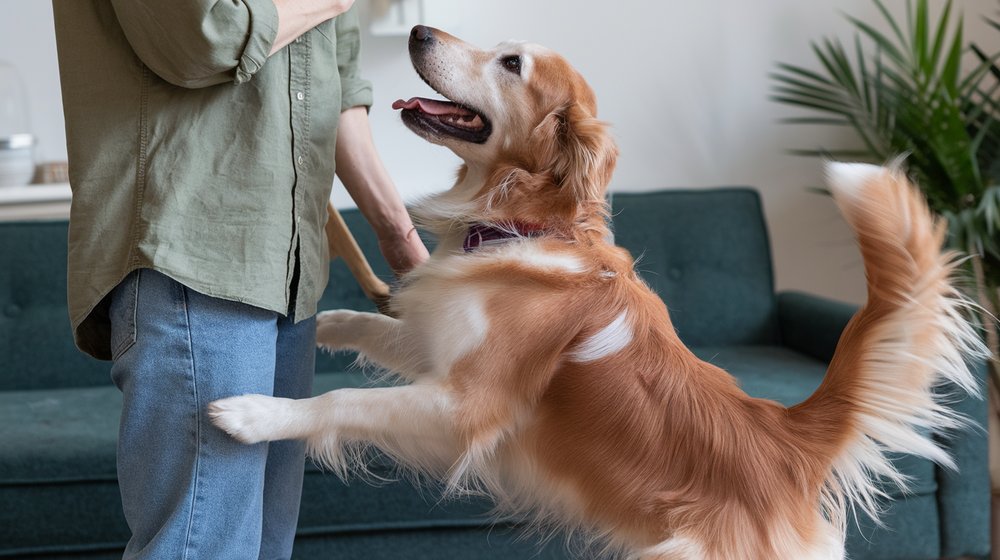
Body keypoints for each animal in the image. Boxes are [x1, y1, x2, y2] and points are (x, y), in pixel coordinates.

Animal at [209, 26, 984, 560]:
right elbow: (360, 318)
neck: (520, 223)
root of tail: (785, 437)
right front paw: (317, 326)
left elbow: (339, 400)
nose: (419, 31)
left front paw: (255, 414)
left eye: (511, 64)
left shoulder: (467, 405)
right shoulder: (438, 349)